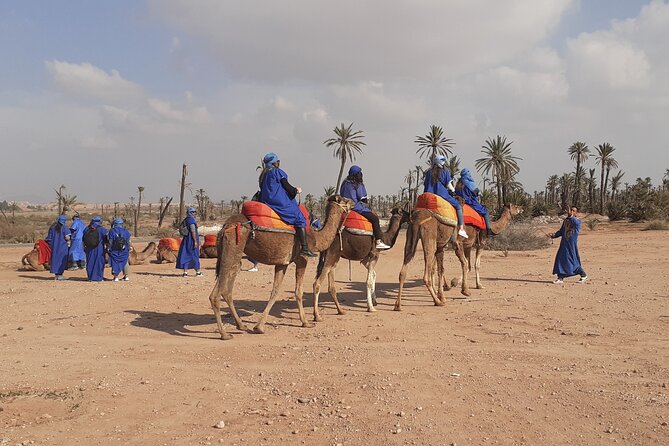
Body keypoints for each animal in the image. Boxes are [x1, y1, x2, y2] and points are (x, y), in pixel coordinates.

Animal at [209, 196, 354, 342]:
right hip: (233, 248)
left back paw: (241, 325)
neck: (317, 237)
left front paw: (259, 327)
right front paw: (306, 322)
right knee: (216, 294)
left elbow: (275, 291)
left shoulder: (282, 263)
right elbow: (298, 291)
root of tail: (225, 227)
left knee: (227, 290)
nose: (353, 202)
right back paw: (224, 334)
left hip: (233, 256)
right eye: (344, 200)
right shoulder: (302, 259)